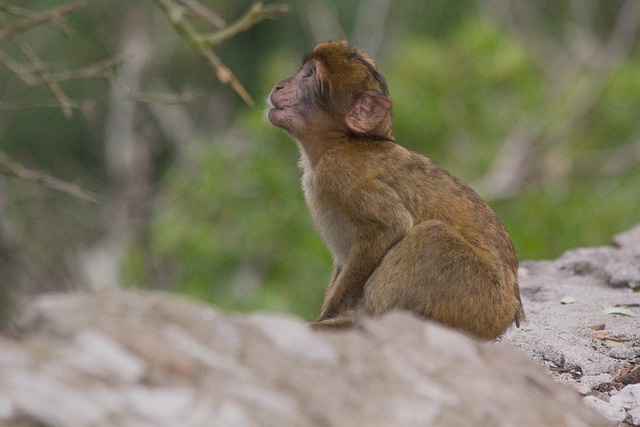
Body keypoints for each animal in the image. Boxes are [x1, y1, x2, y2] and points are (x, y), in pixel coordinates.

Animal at [268, 41, 524, 342]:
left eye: (308, 74)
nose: (279, 86)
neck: (344, 140)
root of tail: (508, 313)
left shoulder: (340, 169)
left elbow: (389, 228)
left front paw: (327, 317)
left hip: (480, 300)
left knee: (432, 237)